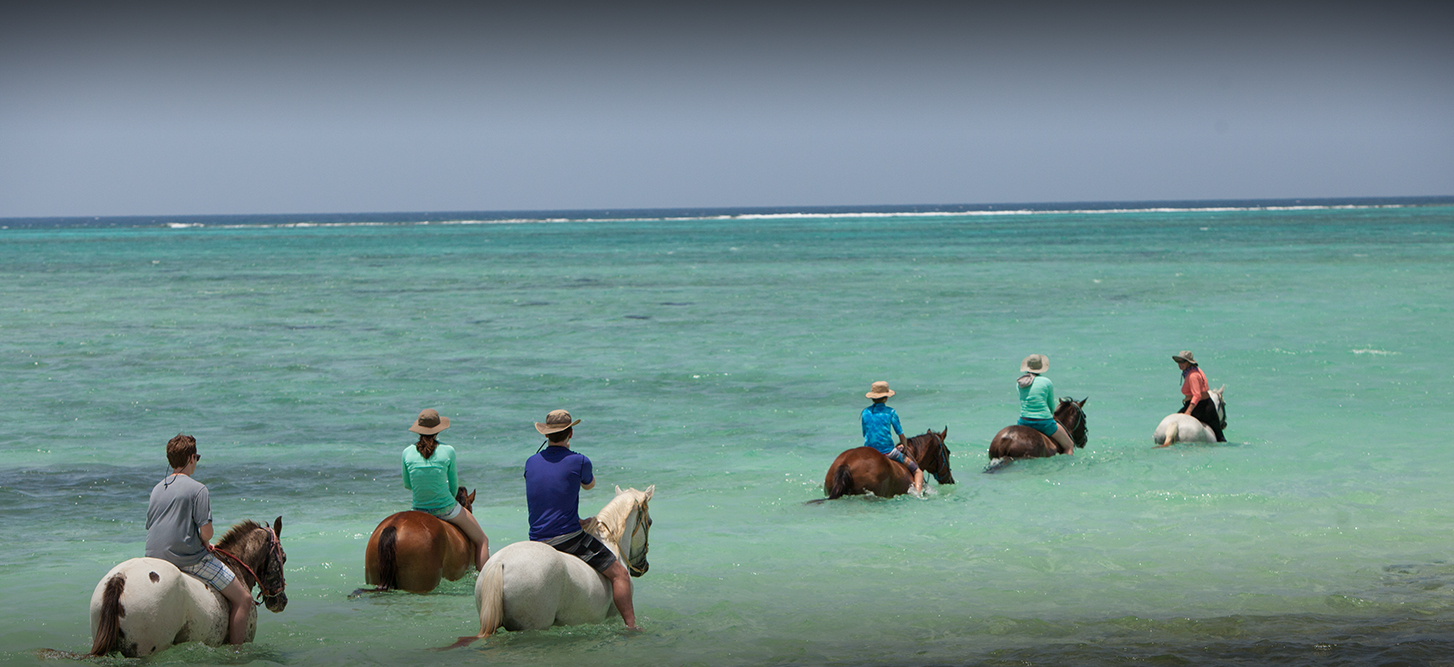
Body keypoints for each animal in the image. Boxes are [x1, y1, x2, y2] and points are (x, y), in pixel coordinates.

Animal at [447, 485, 654, 648]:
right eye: (650, 522)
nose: (644, 566)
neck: (611, 545)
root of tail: (500, 563)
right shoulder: (613, 616)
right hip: (532, 625)